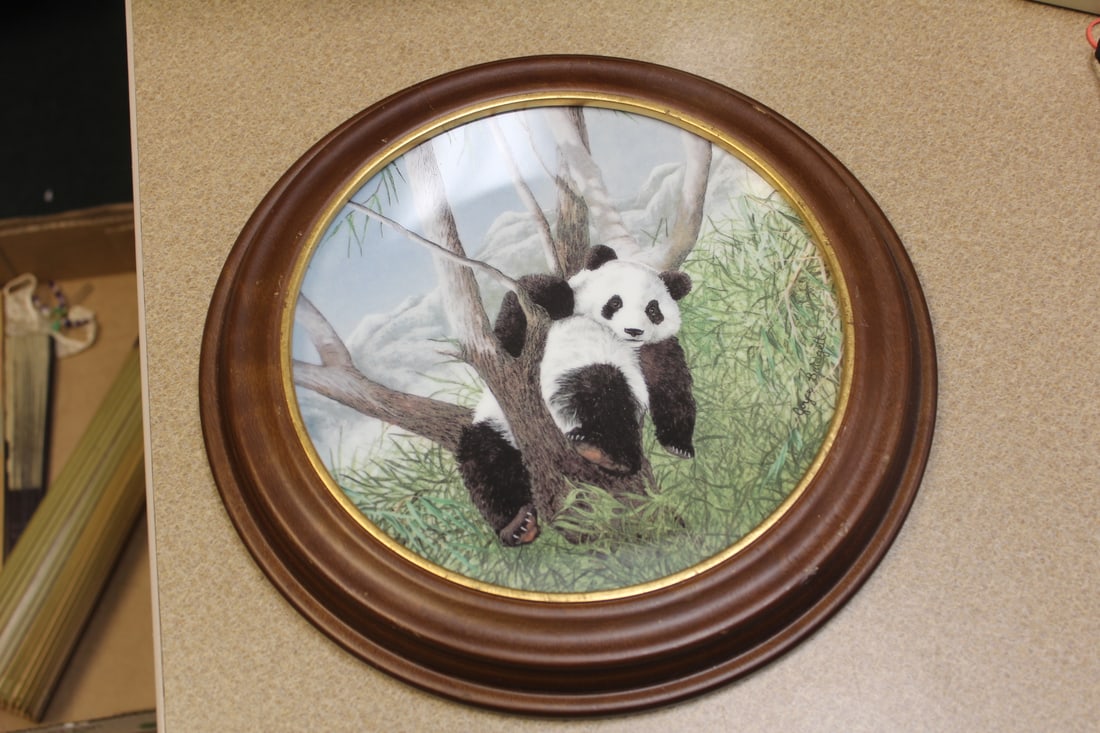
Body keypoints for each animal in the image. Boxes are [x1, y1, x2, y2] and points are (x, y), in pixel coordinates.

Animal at [456, 245, 696, 546]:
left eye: (653, 309)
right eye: (615, 303)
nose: (633, 330)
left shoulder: (654, 351)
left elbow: (672, 386)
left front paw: (679, 445)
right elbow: (525, 302)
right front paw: (552, 300)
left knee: (606, 393)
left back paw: (606, 454)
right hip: (501, 422)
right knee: (485, 458)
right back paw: (517, 525)